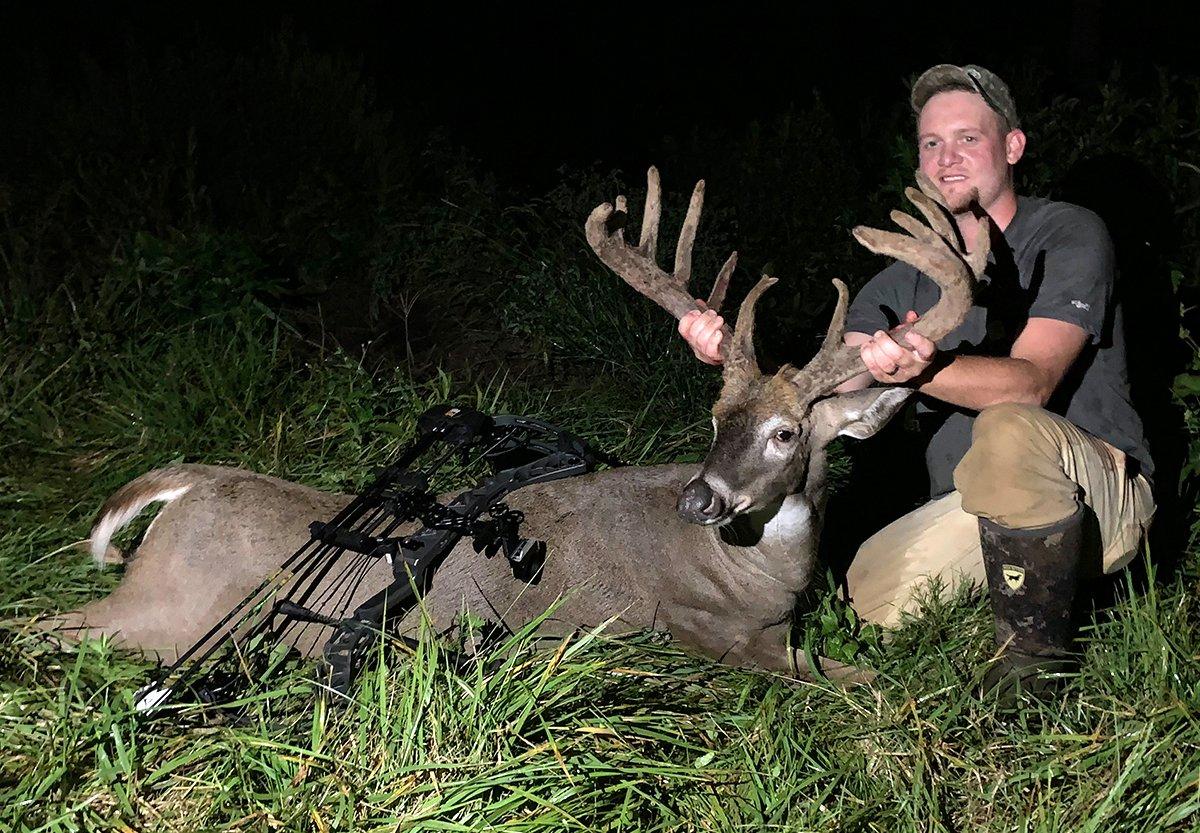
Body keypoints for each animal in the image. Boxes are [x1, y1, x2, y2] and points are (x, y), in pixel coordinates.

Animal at [33, 168, 986, 684]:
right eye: (715, 415)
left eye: (786, 433)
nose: (701, 501)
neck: (755, 571)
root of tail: (191, 484)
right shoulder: (700, 628)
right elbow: (856, 680)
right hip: (166, 608)